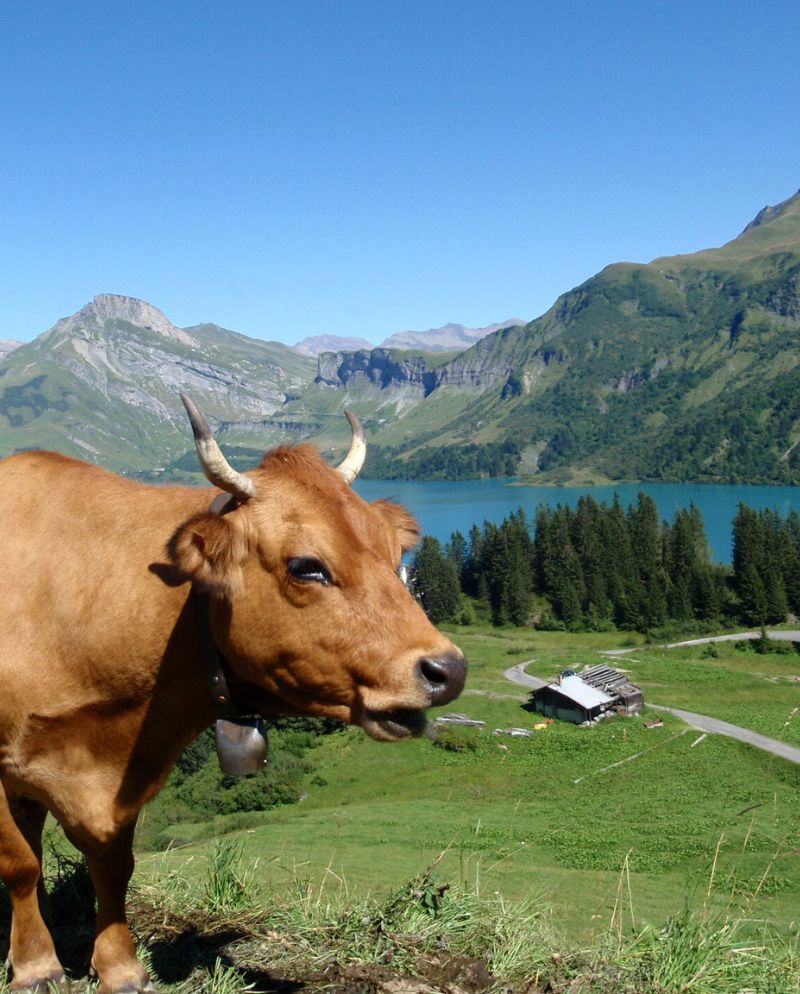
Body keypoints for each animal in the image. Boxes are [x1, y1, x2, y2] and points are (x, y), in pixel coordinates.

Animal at [0, 398, 462, 992]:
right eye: (307, 566)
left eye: (394, 553)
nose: (448, 669)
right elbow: (20, 864)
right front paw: (36, 966)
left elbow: (113, 866)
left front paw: (121, 967)